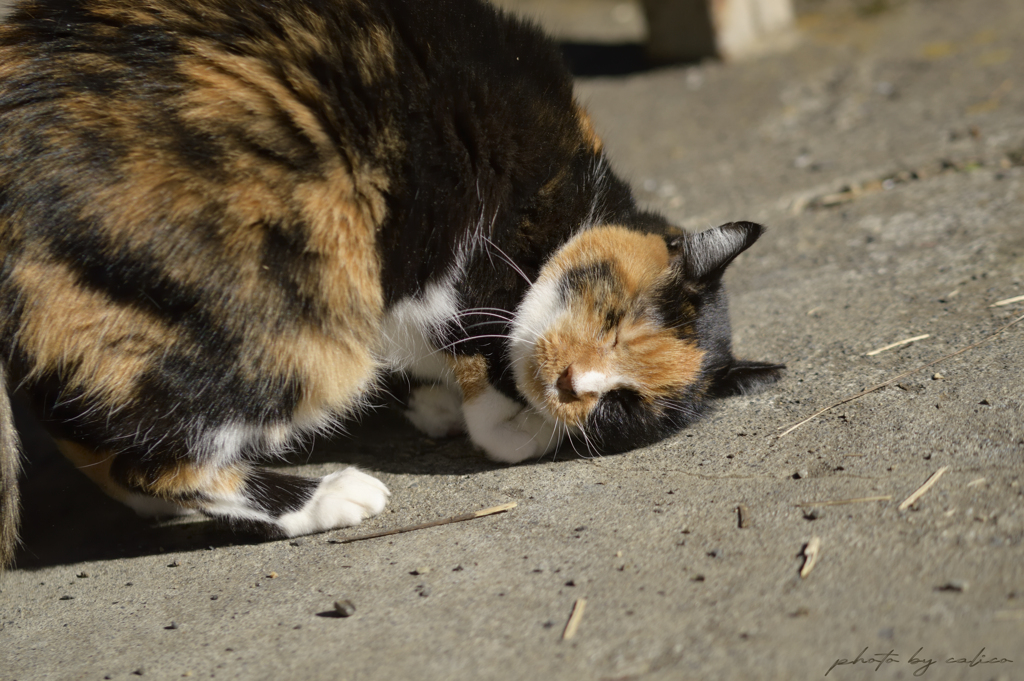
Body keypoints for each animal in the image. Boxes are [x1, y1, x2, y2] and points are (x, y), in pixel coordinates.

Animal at [0, 0, 782, 565]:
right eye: (617, 319)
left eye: (622, 406)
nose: (572, 386)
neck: (568, 203)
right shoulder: (460, 268)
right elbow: (488, 385)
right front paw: (503, 422)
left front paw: (435, 404)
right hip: (288, 322)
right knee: (154, 456)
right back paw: (329, 496)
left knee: (98, 431)